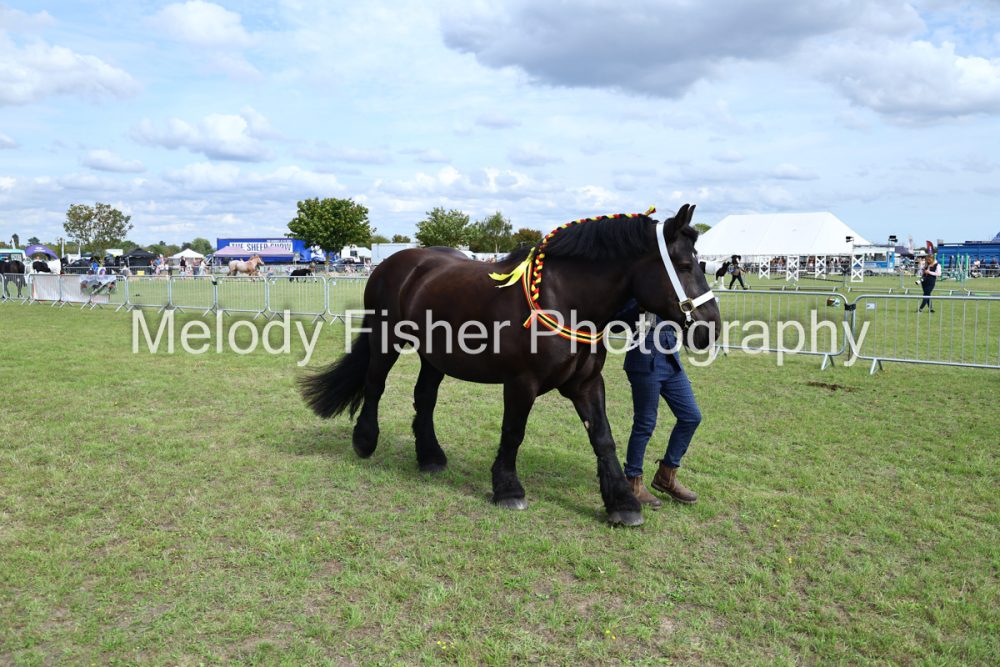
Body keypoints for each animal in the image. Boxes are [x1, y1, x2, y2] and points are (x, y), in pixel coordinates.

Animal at [300, 204, 721, 526]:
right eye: (683, 264)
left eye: (702, 263)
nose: (711, 327)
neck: (563, 298)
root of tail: (395, 263)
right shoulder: (521, 382)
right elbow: (514, 432)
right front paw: (508, 490)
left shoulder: (587, 383)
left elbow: (603, 437)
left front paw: (622, 502)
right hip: (386, 340)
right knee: (375, 385)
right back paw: (365, 441)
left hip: (434, 356)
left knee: (425, 398)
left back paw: (430, 456)